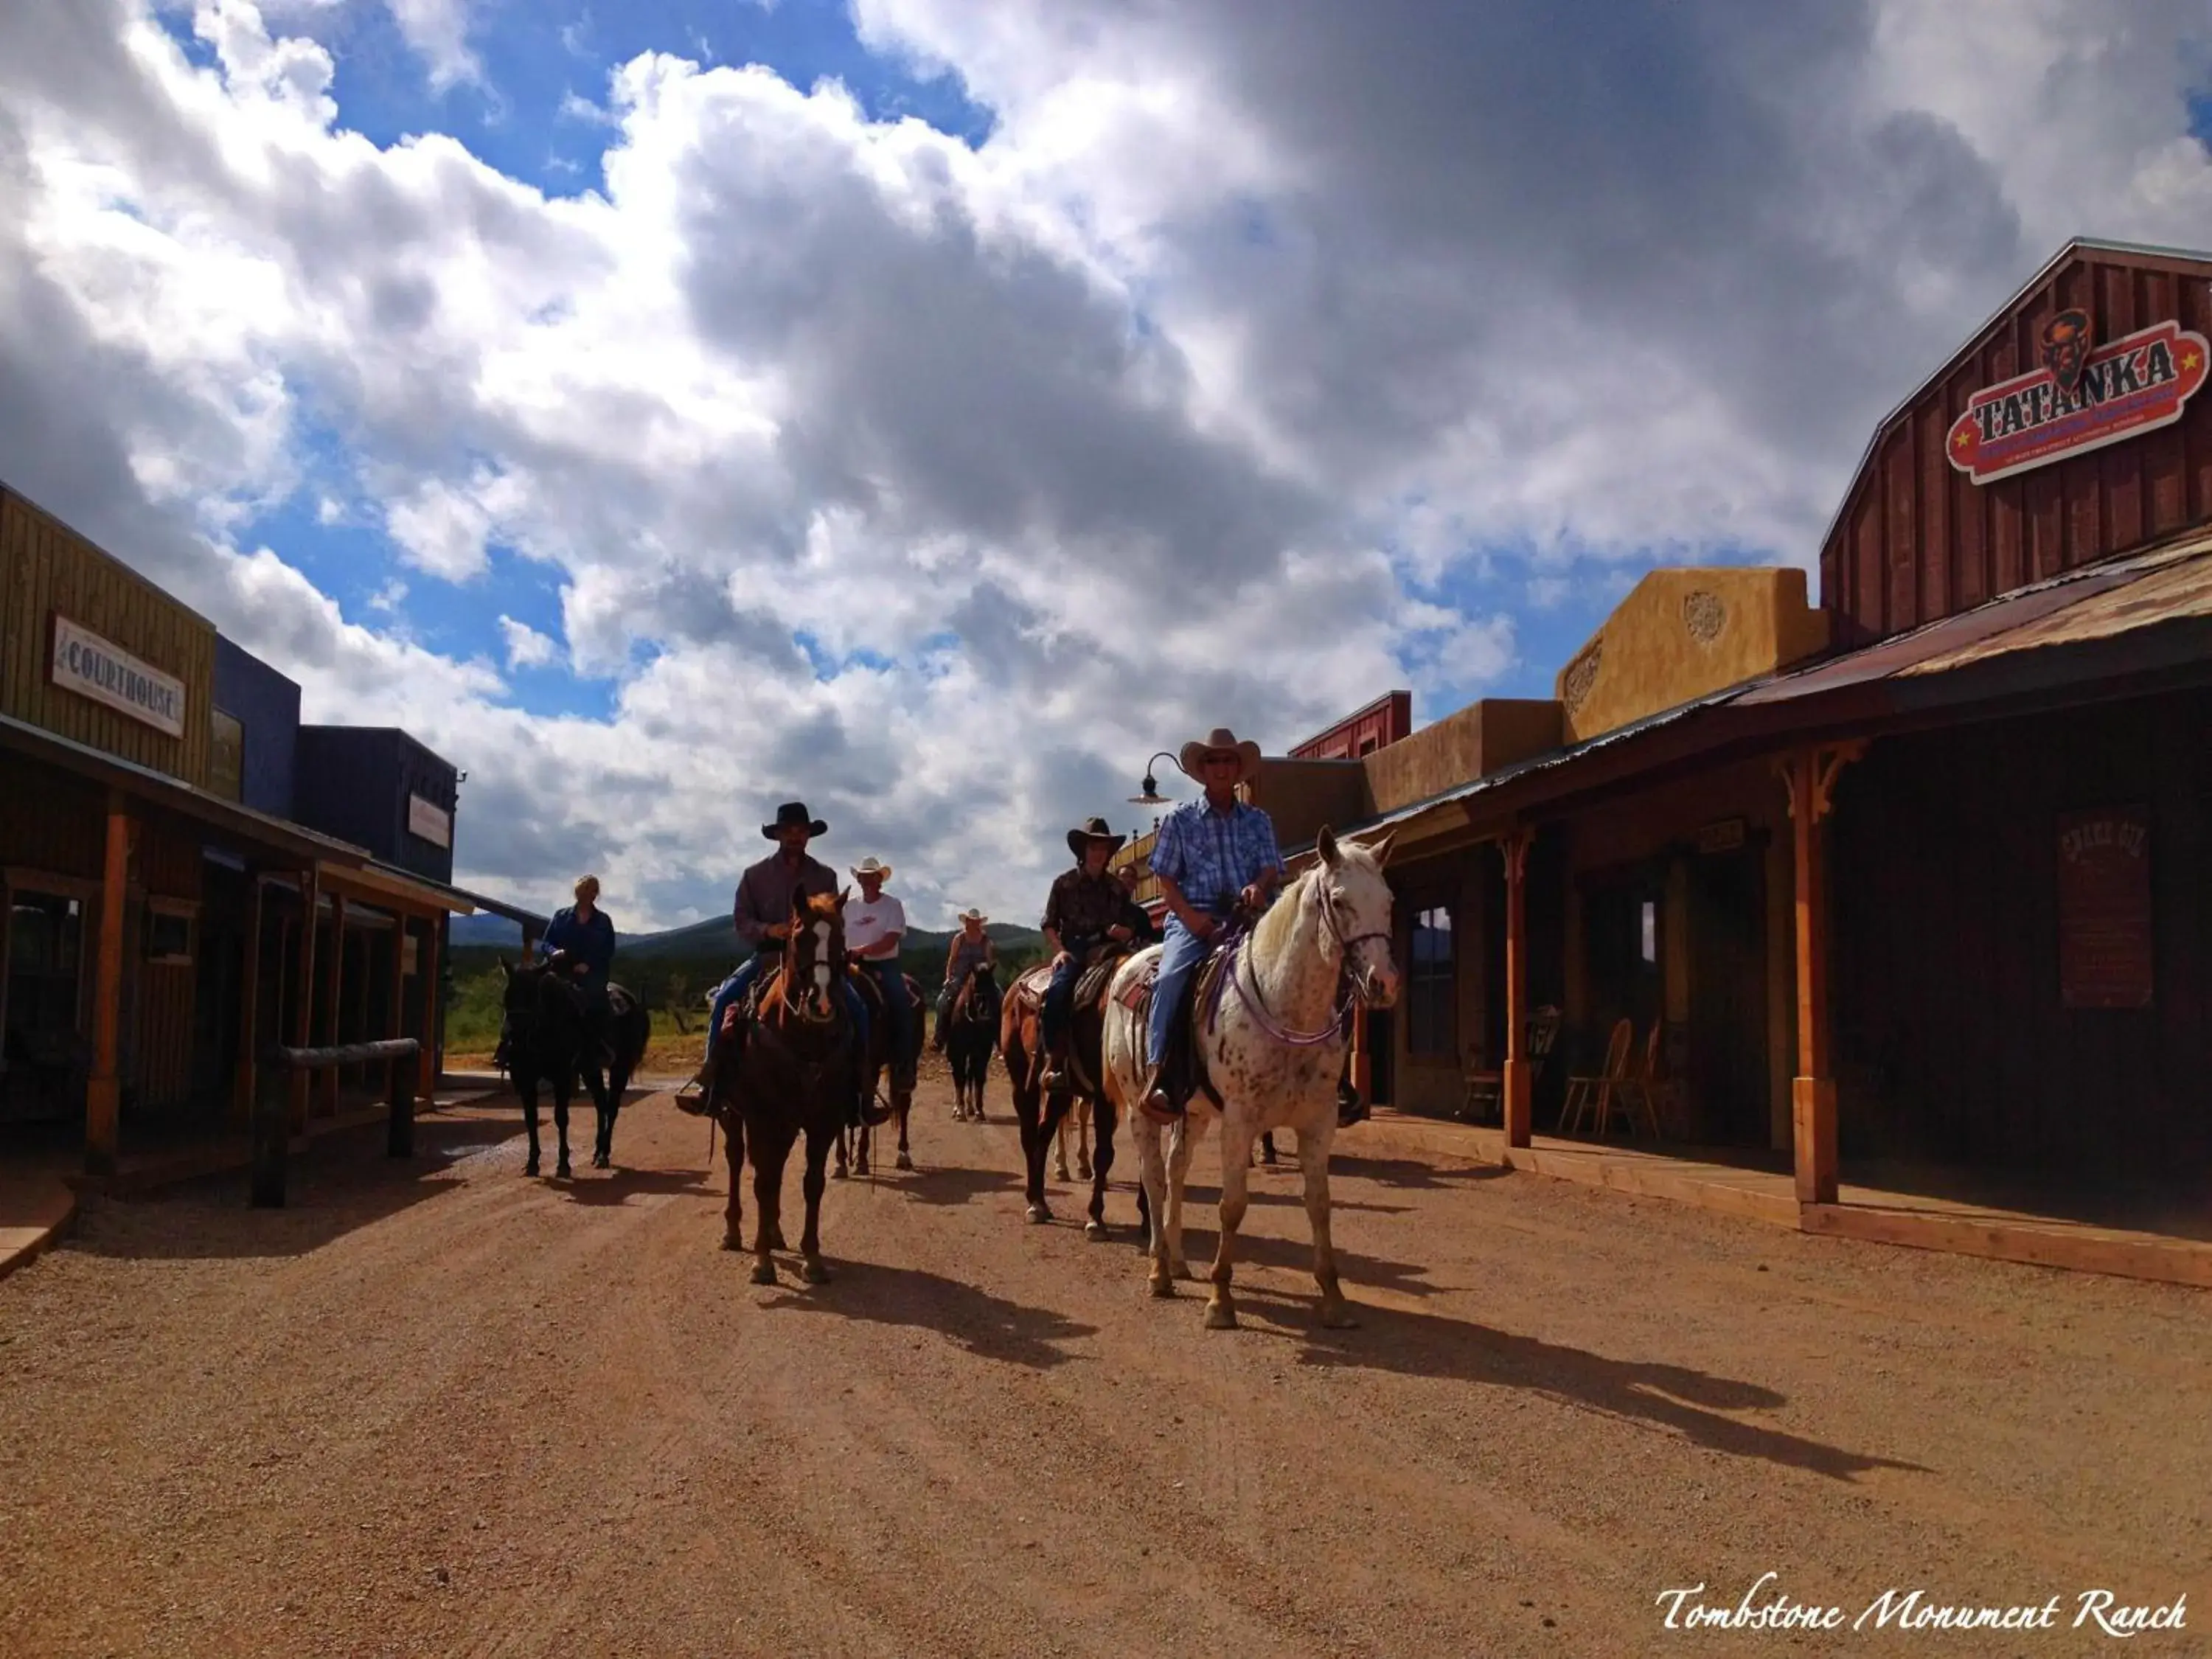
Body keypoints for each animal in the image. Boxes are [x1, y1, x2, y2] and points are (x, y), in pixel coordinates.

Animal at [495, 956, 646, 1177]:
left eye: (533, 996)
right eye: (507, 996)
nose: (512, 1038)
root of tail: (632, 1001)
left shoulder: (563, 1077)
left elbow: (561, 1117)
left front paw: (563, 1165)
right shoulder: (525, 1078)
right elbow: (531, 1118)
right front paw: (532, 1163)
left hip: (620, 1068)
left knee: (612, 1107)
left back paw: (604, 1155)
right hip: (591, 1070)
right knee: (601, 1103)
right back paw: (597, 1152)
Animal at [712, 889, 858, 1292]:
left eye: (841, 938)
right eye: (797, 937)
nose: (821, 1002)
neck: (802, 1041)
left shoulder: (822, 1123)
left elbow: (812, 1184)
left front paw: (813, 1259)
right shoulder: (762, 1119)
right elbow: (763, 1183)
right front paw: (762, 1262)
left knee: (775, 1167)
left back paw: (775, 1231)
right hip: (733, 1116)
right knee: (737, 1161)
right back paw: (734, 1232)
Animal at [942, 969, 995, 1124]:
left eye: (993, 988)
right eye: (975, 988)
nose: (986, 1016)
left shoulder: (983, 1052)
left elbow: (979, 1078)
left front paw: (979, 1111)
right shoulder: (958, 1052)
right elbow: (960, 1078)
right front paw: (960, 1112)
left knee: (970, 1075)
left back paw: (971, 1108)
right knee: (959, 1076)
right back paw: (958, 1109)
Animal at [1106, 832, 1398, 1336]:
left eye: (1389, 901)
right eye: (1340, 901)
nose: (1383, 983)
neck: (1286, 1009)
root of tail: (1128, 967)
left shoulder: (1318, 1122)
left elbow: (1319, 1205)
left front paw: (1333, 1298)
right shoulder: (1240, 1121)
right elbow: (1233, 1206)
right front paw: (1221, 1299)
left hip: (1194, 1113)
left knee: (1175, 1171)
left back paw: (1177, 1261)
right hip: (1141, 1108)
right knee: (1153, 1178)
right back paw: (1159, 1271)